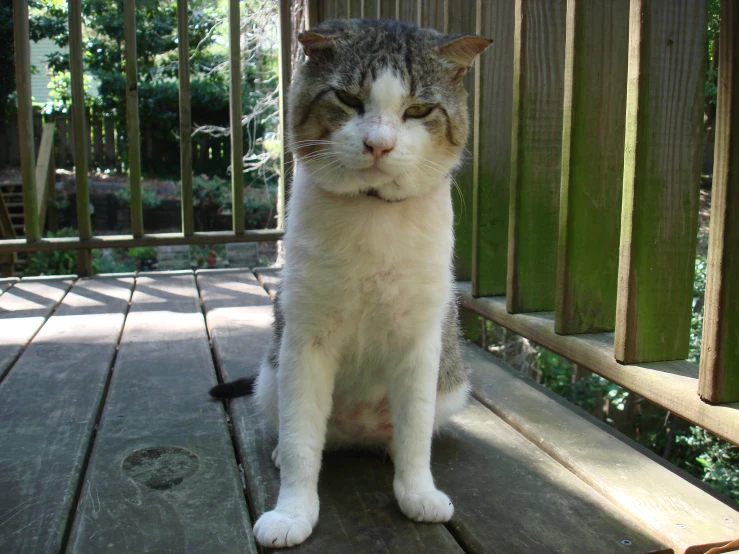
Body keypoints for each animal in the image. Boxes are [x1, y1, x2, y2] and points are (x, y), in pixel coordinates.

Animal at [211, 18, 492, 548]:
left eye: (418, 109)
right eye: (347, 98)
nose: (378, 145)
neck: (371, 213)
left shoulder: (420, 341)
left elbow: (415, 431)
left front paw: (416, 490)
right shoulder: (305, 339)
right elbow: (301, 441)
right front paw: (293, 511)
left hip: (452, 385)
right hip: (271, 377)